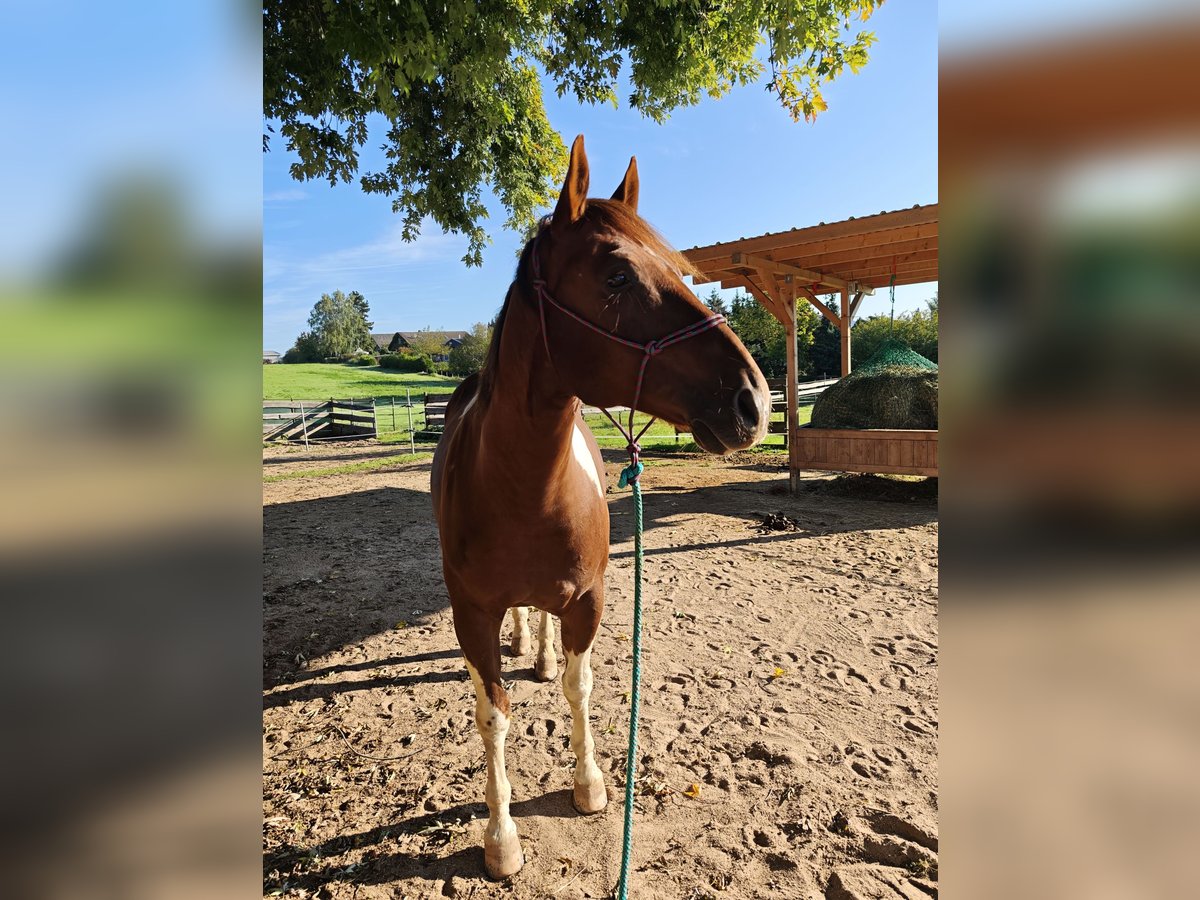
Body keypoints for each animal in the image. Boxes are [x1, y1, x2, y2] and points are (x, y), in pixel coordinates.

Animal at [430, 135, 771, 879]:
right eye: (616, 276)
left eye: (680, 268)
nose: (753, 401)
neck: (522, 487)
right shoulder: (471, 613)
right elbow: (492, 714)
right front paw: (501, 838)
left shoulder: (587, 597)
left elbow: (579, 687)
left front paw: (588, 784)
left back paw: (539, 653)